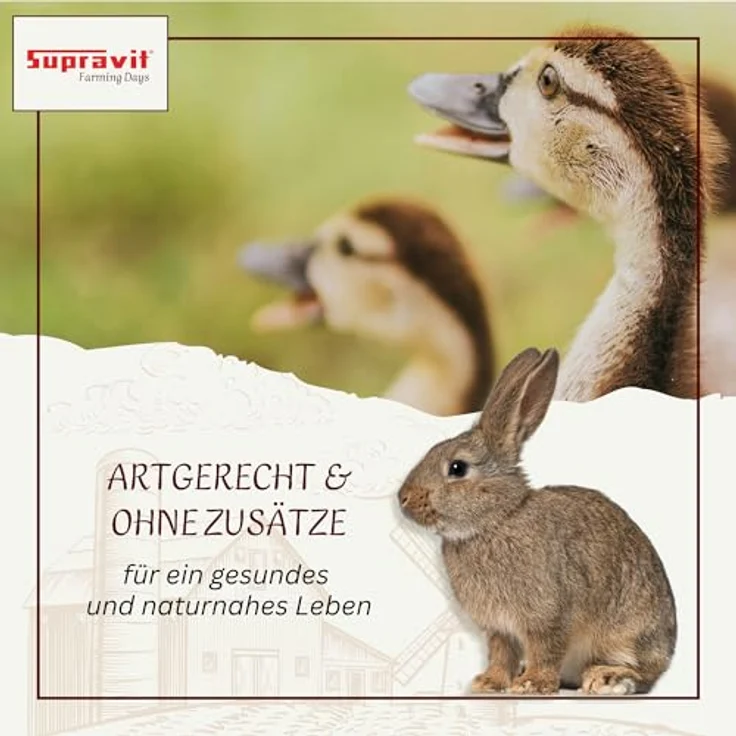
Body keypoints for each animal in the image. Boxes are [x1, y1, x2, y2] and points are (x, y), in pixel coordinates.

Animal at [397, 347, 677, 695]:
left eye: (458, 468)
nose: (403, 498)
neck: (497, 520)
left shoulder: (548, 615)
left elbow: (545, 649)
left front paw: (531, 684)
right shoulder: (500, 628)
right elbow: (501, 654)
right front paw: (488, 683)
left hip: (628, 634)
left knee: (644, 674)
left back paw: (606, 678)